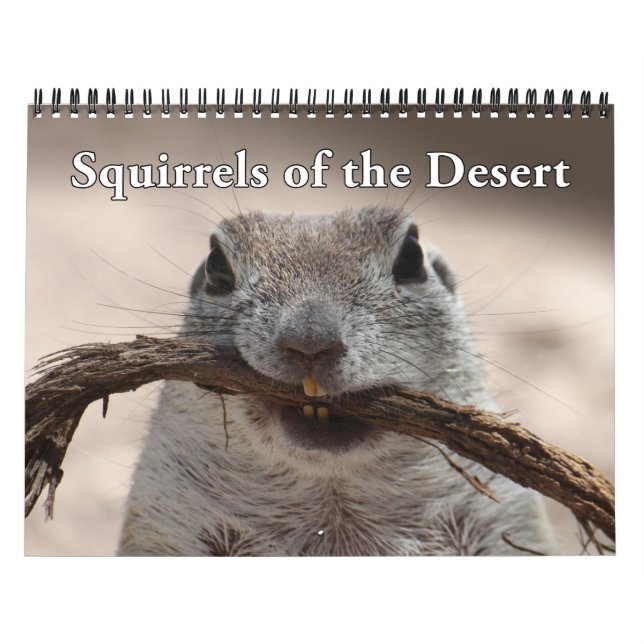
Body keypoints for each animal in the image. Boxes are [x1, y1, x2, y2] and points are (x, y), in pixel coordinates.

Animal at [118, 206, 556, 555]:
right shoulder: (163, 516)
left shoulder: (504, 516)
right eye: (216, 266)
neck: (332, 496)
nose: (310, 340)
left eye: (412, 257)